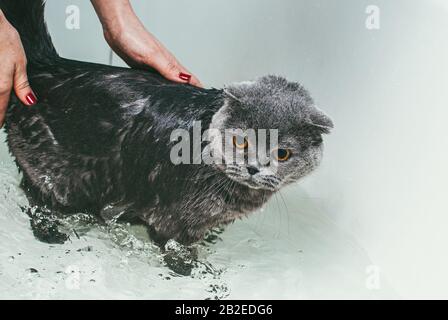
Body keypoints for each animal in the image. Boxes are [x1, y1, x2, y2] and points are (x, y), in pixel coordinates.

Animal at [0, 0, 332, 245]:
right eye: (242, 141)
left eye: (283, 154)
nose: (253, 167)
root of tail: (48, 65)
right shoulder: (176, 218)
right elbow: (179, 247)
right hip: (59, 174)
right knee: (38, 197)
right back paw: (51, 232)